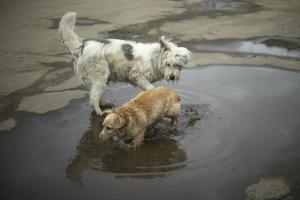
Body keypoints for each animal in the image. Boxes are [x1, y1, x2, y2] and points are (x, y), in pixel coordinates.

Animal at [57, 12, 191, 115]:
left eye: (177, 65)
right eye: (167, 64)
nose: (172, 77)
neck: (153, 58)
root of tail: (82, 46)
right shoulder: (137, 76)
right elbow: (151, 88)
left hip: (102, 78)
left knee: (94, 95)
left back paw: (104, 103)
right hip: (100, 75)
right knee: (93, 98)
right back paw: (100, 112)